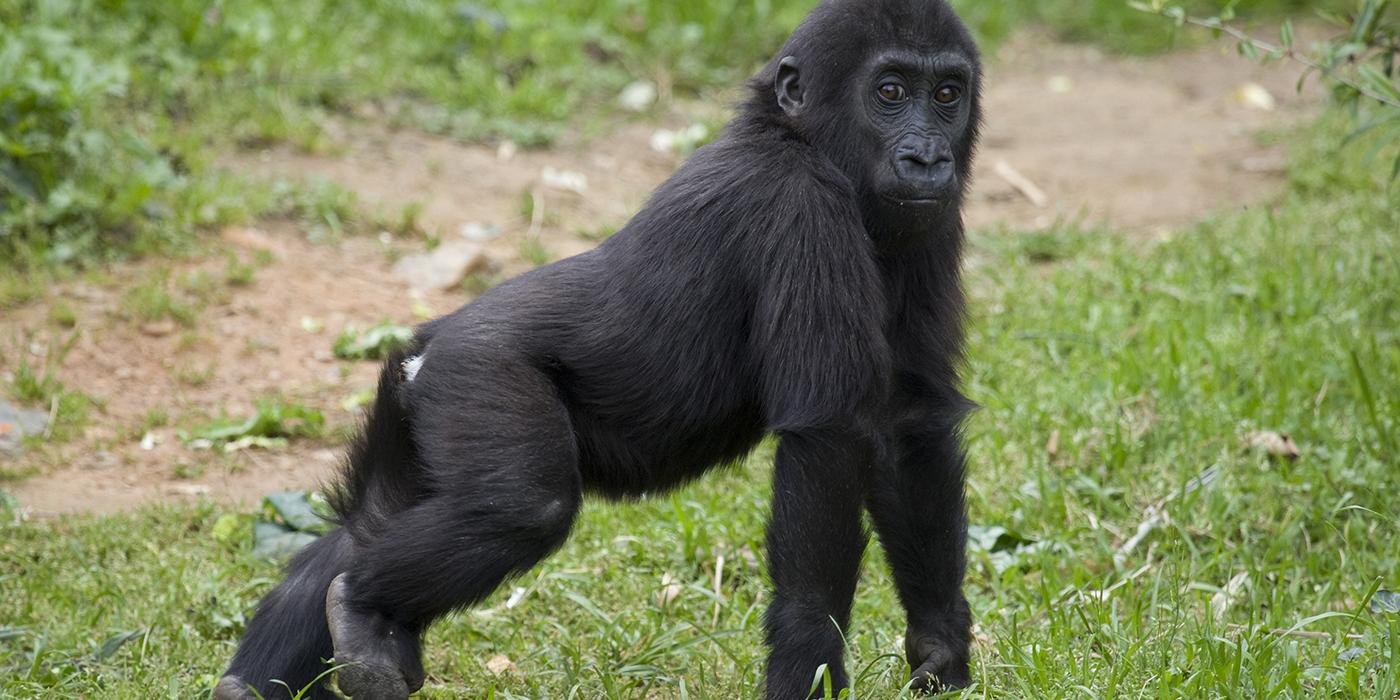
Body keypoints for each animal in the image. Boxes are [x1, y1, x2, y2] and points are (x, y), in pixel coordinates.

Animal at [221, 0, 985, 697]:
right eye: (890, 92)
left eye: (947, 95)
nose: (927, 157)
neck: (794, 132)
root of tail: (426, 346)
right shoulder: (799, 205)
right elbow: (827, 444)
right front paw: (811, 658)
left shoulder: (931, 222)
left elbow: (908, 424)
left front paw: (940, 645)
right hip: (478, 374)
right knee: (523, 508)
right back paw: (359, 602)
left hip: (415, 401)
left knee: (368, 524)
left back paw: (281, 661)